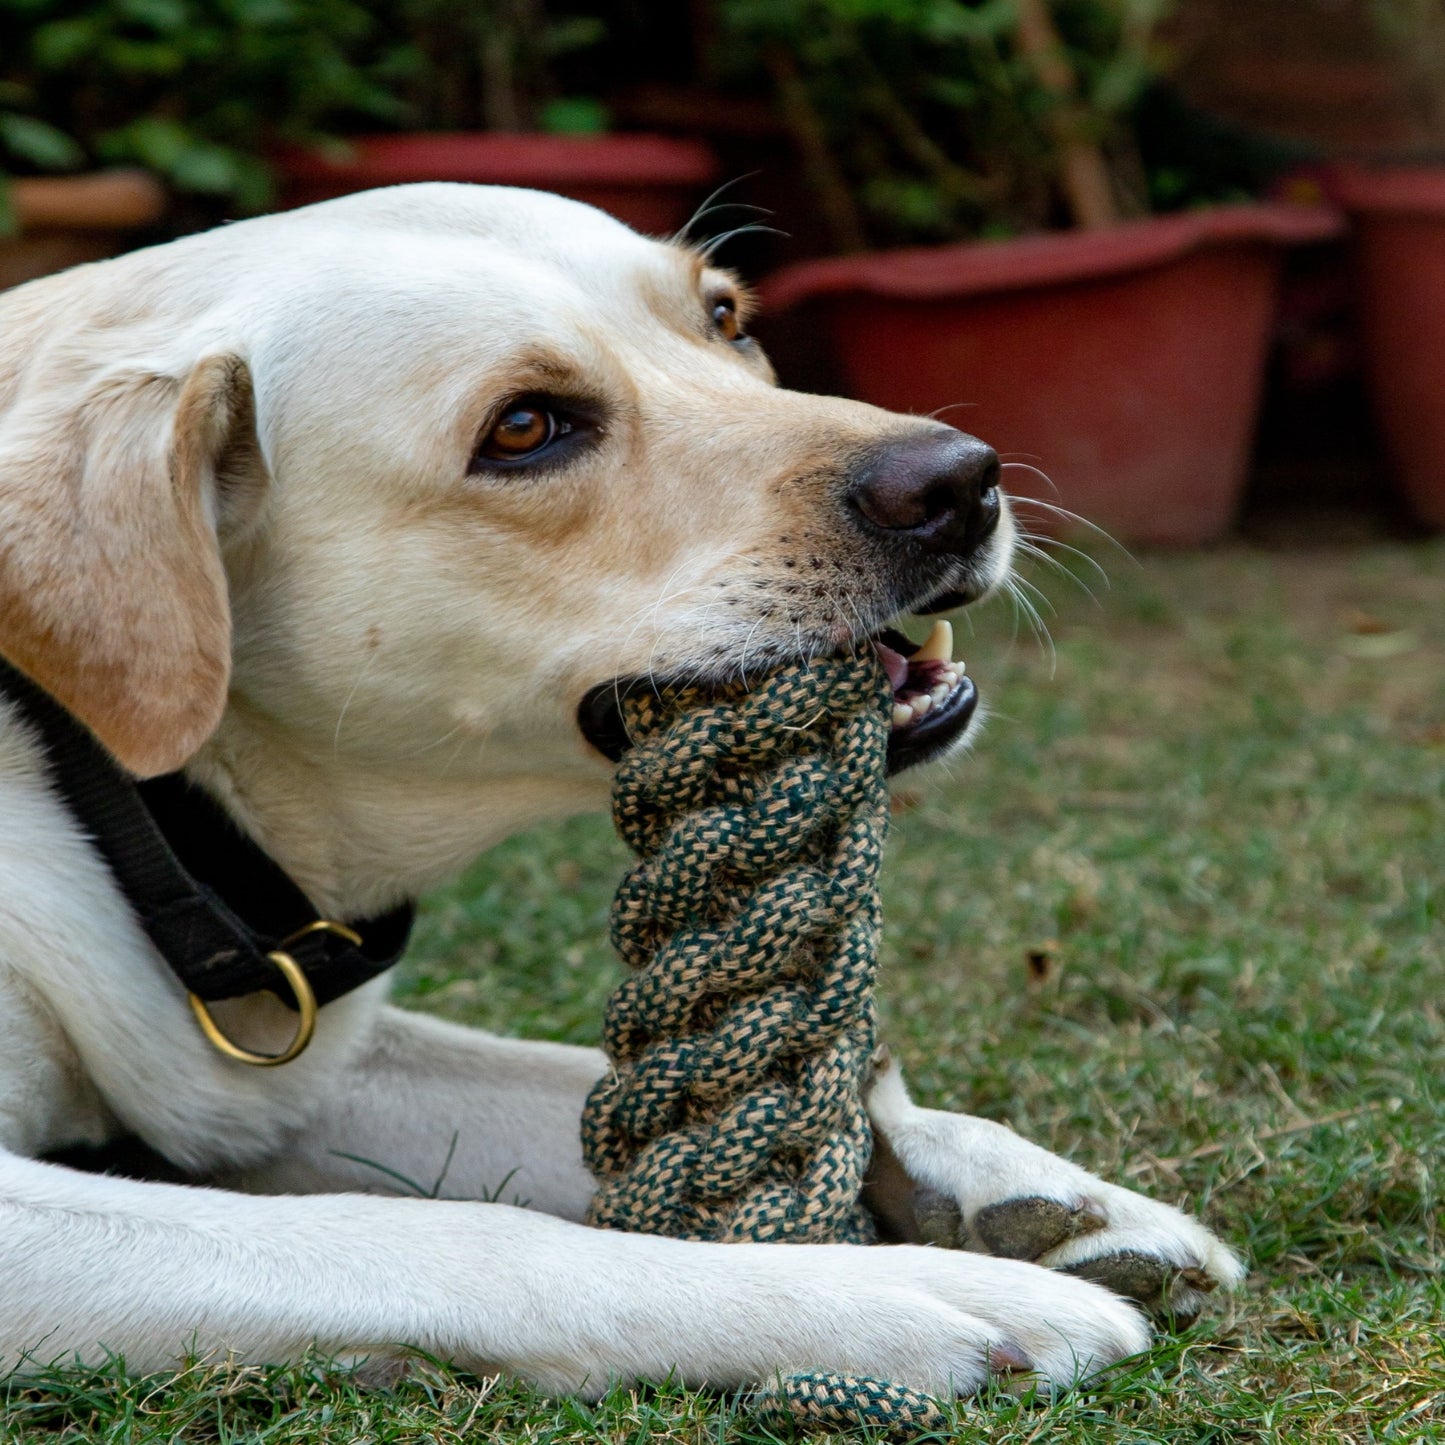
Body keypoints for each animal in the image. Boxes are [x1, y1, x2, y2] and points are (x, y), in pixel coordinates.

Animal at [0, 186, 1242, 1392]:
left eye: (725, 317)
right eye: (523, 428)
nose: (960, 479)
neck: (141, 802)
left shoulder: (289, 1084)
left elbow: (582, 1085)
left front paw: (1003, 1178)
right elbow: (454, 1232)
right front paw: (871, 1291)